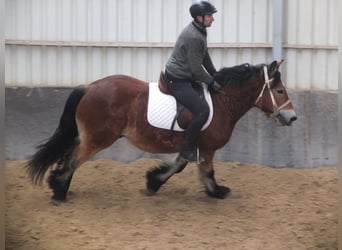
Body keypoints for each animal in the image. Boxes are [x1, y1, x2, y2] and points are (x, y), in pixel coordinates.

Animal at [24, 60, 296, 203]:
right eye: (280, 91)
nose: (292, 117)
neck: (222, 103)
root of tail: (89, 87)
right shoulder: (206, 147)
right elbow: (206, 171)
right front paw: (217, 191)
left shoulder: (191, 145)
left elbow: (178, 165)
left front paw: (153, 182)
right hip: (97, 139)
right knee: (72, 159)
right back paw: (59, 191)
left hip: (90, 137)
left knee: (67, 156)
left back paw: (59, 187)